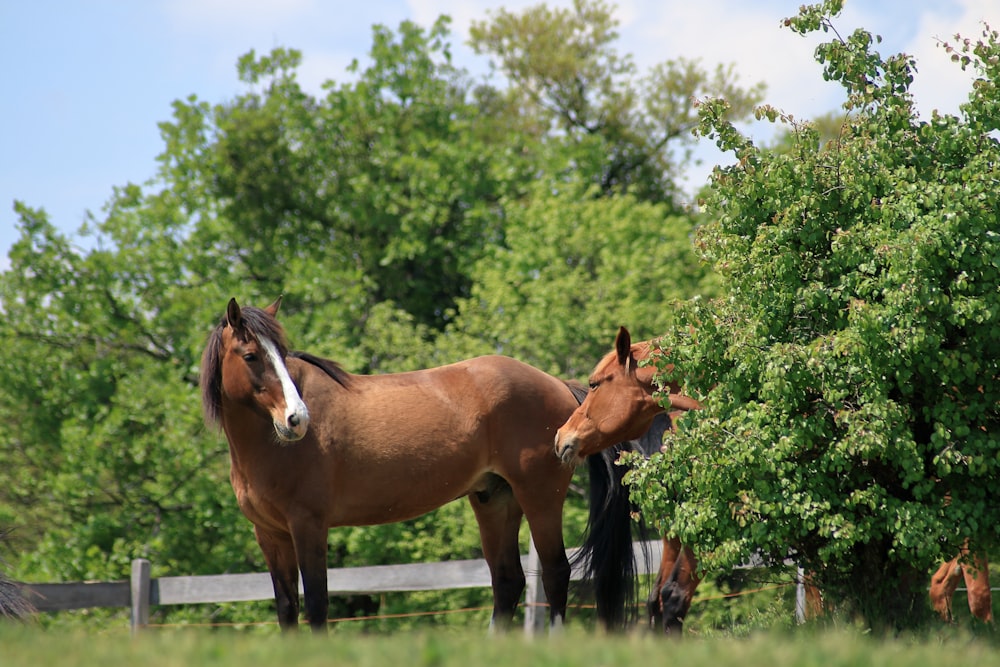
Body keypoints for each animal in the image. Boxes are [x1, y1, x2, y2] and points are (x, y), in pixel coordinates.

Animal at [201, 300, 640, 636]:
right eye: (251, 355)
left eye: (283, 355)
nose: (297, 419)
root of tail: (559, 386)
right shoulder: (270, 534)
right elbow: (287, 608)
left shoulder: (308, 525)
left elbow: (318, 605)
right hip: (495, 499)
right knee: (508, 580)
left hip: (540, 498)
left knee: (555, 573)